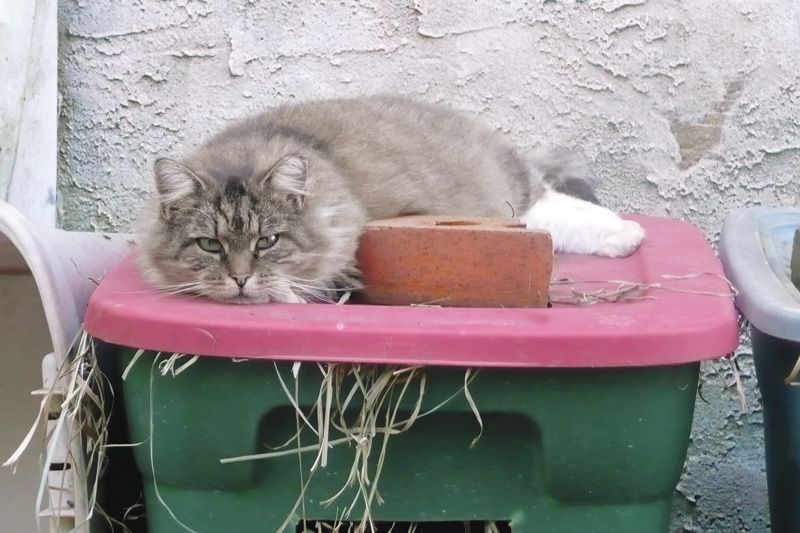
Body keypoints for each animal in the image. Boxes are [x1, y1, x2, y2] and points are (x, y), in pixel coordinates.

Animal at [136, 95, 644, 304]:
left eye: (267, 242)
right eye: (209, 245)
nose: (240, 279)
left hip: (507, 192)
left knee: (552, 204)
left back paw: (628, 233)